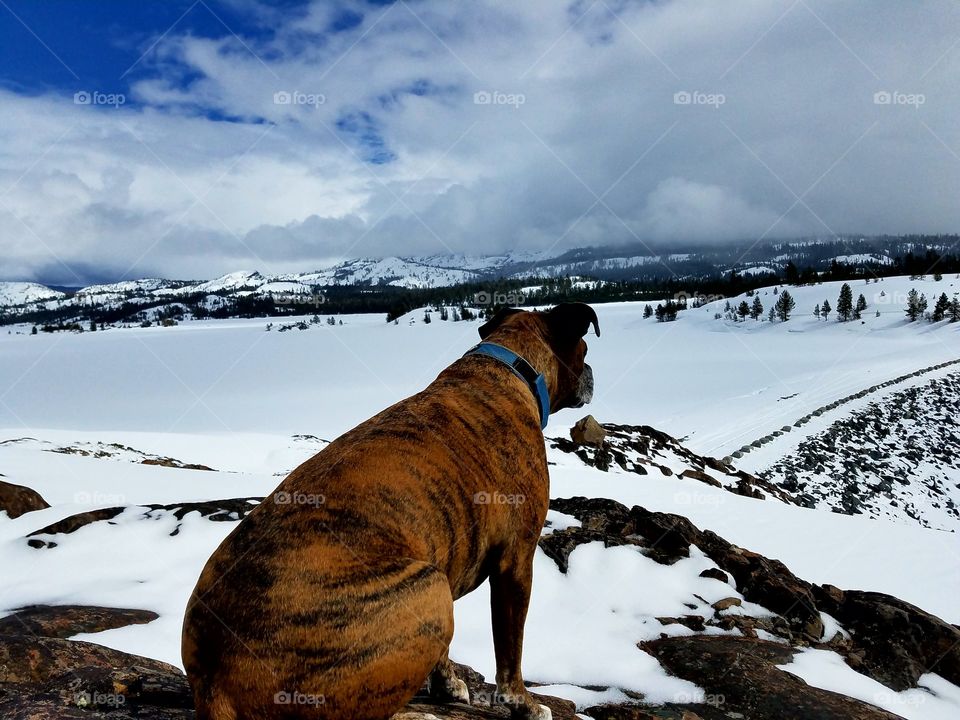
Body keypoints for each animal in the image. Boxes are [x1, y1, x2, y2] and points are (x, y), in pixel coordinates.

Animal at [182, 304, 600, 720]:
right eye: (584, 350)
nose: (593, 374)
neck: (509, 368)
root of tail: (215, 685)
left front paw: (447, 684)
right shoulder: (516, 563)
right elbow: (510, 655)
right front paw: (525, 704)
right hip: (429, 588)